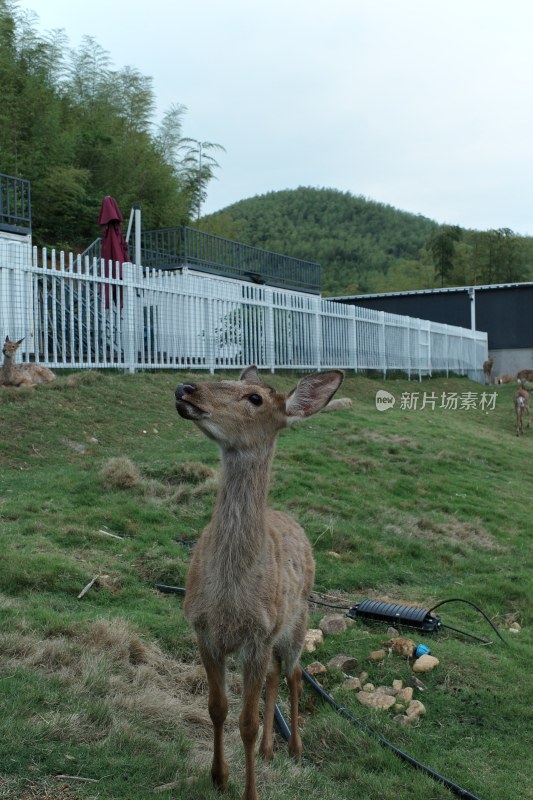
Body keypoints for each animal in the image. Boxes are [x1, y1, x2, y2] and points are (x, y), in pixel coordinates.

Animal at [172, 364, 342, 800]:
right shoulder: (203, 630)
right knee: (274, 676)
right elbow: (218, 709)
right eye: (228, 378)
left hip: (296, 622)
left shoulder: (258, 635)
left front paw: (249, 791)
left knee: (295, 674)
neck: (231, 595)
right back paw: (269, 749)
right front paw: (219, 776)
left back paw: (295, 748)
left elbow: (246, 723)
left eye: (255, 398)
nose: (185, 387)